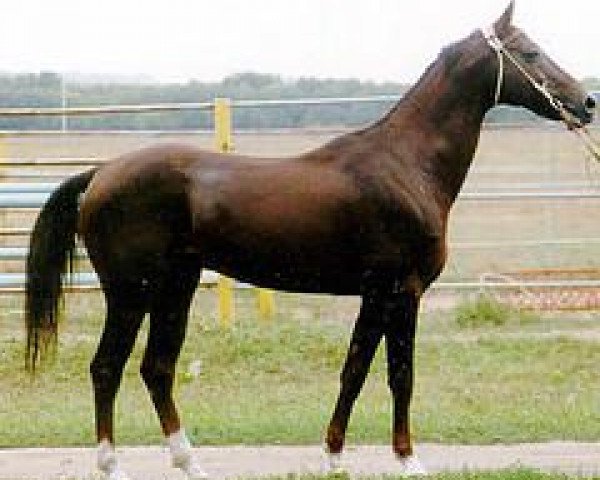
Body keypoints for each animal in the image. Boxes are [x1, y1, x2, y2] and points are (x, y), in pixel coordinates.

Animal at [24, 1, 596, 478]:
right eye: (530, 53)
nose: (586, 103)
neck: (406, 166)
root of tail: (101, 174)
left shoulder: (375, 295)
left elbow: (355, 370)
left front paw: (333, 456)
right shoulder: (401, 290)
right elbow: (399, 374)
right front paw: (408, 460)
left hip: (175, 289)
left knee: (156, 369)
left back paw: (190, 463)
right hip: (131, 293)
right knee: (106, 368)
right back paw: (112, 465)